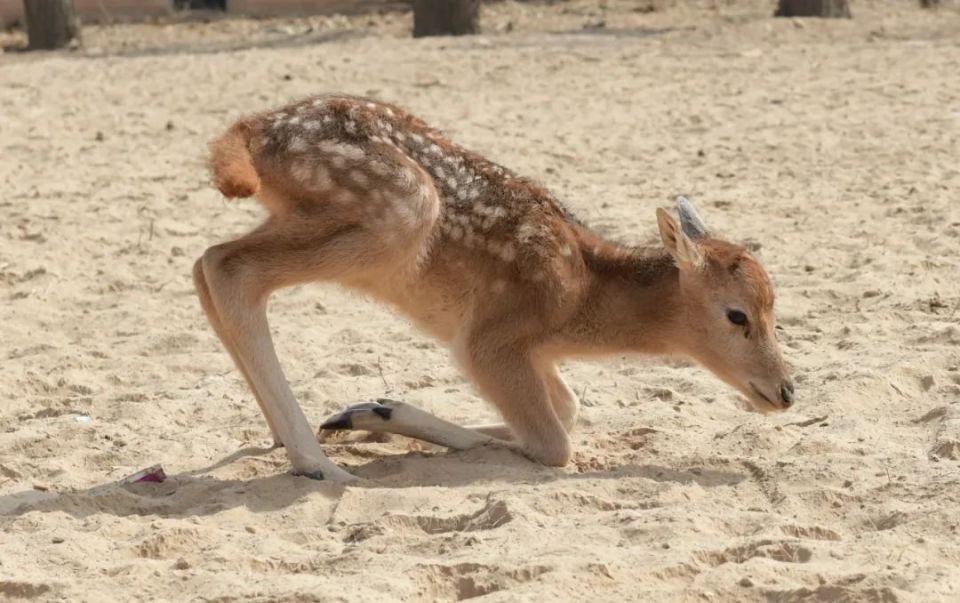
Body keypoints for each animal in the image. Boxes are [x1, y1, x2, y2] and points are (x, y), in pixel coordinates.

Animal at [193, 94, 795, 482]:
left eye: (774, 308)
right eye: (737, 315)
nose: (786, 391)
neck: (580, 302)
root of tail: (251, 132)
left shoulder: (535, 352)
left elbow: (569, 408)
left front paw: (369, 414)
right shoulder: (489, 339)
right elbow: (554, 443)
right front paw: (379, 420)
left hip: (301, 215)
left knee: (206, 262)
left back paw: (290, 436)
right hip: (400, 209)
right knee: (230, 269)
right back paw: (317, 463)